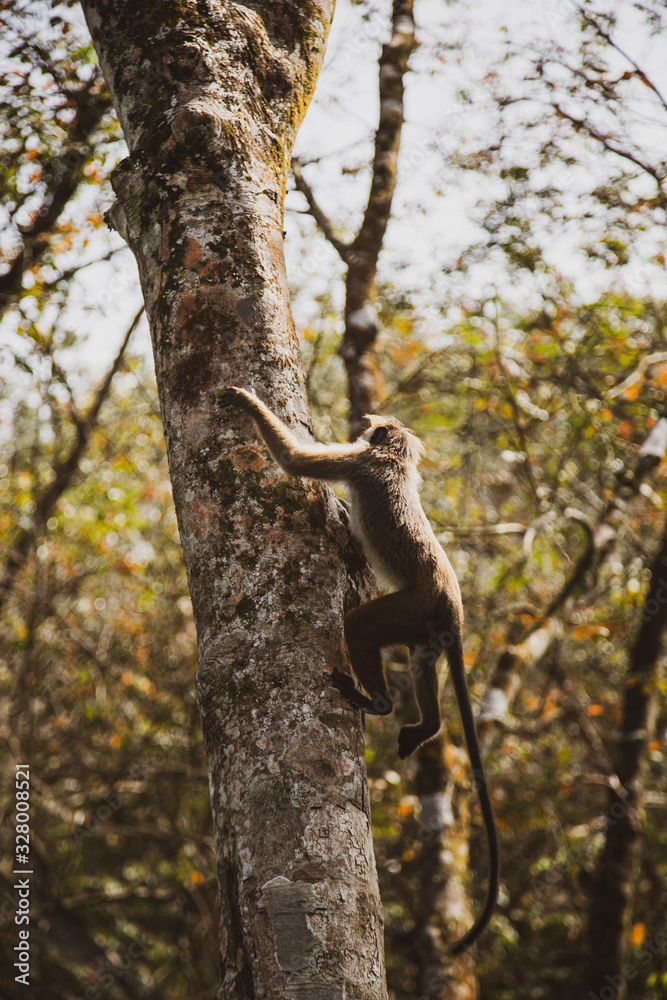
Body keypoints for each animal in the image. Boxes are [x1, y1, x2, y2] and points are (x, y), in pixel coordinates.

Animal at [218, 386, 499, 955]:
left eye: (376, 428)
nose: (369, 420)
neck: (395, 460)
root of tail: (453, 606)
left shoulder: (361, 461)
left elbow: (296, 462)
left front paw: (244, 400)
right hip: (424, 622)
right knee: (421, 659)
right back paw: (427, 724)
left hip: (412, 605)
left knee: (361, 627)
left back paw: (381, 703)